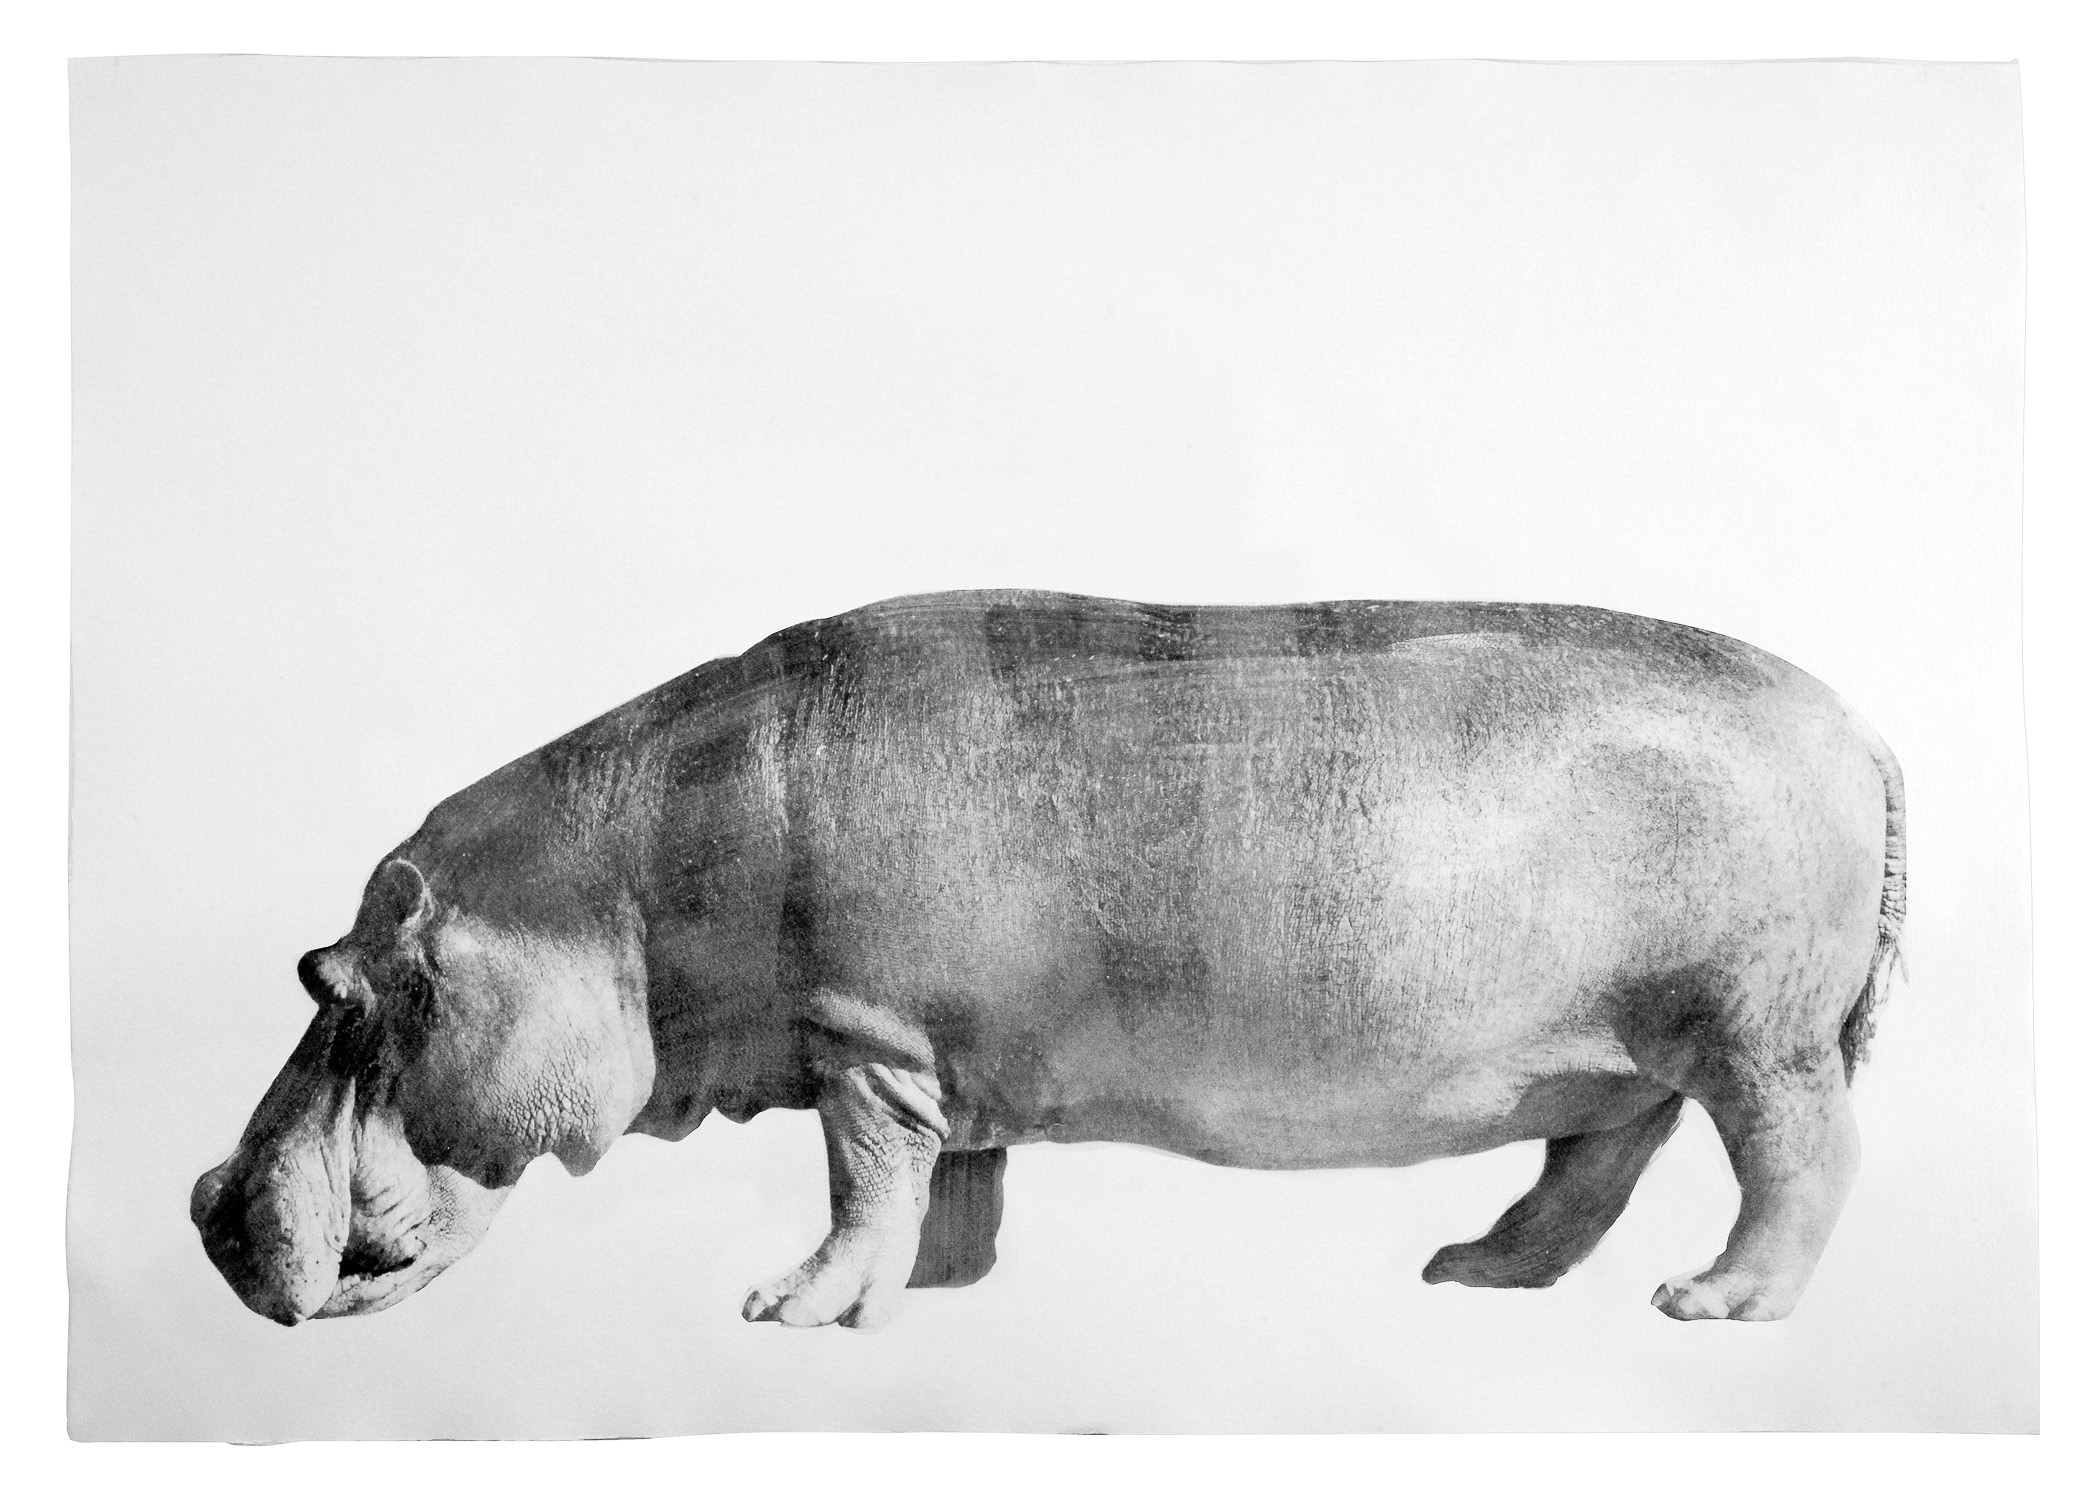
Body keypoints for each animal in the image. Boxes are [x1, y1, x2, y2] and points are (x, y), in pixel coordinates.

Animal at [192, 590, 1905, 1330]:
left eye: (327, 984)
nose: (207, 1203)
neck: (606, 886)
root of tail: (1856, 717)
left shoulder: (866, 1041)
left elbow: (859, 1182)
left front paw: (787, 1307)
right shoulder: (934, 1054)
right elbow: (947, 1180)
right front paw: (936, 1291)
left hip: (1758, 1037)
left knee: (1801, 1162)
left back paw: (1714, 1302)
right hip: (1623, 1048)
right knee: (1593, 1161)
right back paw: (1470, 1269)